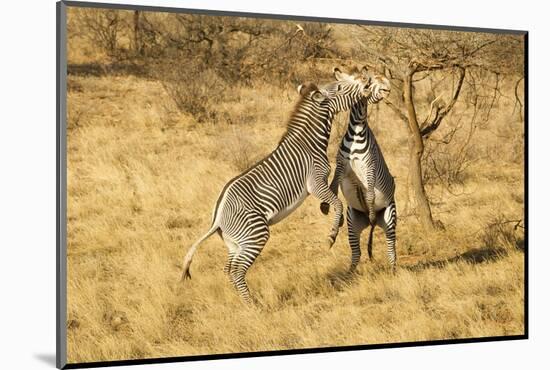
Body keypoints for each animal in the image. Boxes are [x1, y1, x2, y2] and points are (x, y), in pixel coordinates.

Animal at [183, 67, 378, 304]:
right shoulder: (315, 182)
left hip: (235, 242)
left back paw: (241, 301)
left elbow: (334, 201)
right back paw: (253, 306)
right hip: (255, 234)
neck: (311, 143)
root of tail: (217, 217)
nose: (365, 79)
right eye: (340, 87)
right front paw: (331, 236)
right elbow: (338, 203)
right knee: (237, 271)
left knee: (229, 269)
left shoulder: (322, 182)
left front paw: (335, 221)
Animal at [322, 68, 398, 272]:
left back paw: (393, 272)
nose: (388, 89)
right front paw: (327, 207)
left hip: (389, 218)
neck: (356, 133)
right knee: (356, 254)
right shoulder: (341, 165)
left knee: (391, 250)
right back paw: (348, 274)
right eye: (370, 82)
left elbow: (370, 194)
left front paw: (371, 212)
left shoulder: (370, 166)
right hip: (353, 222)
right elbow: (333, 186)